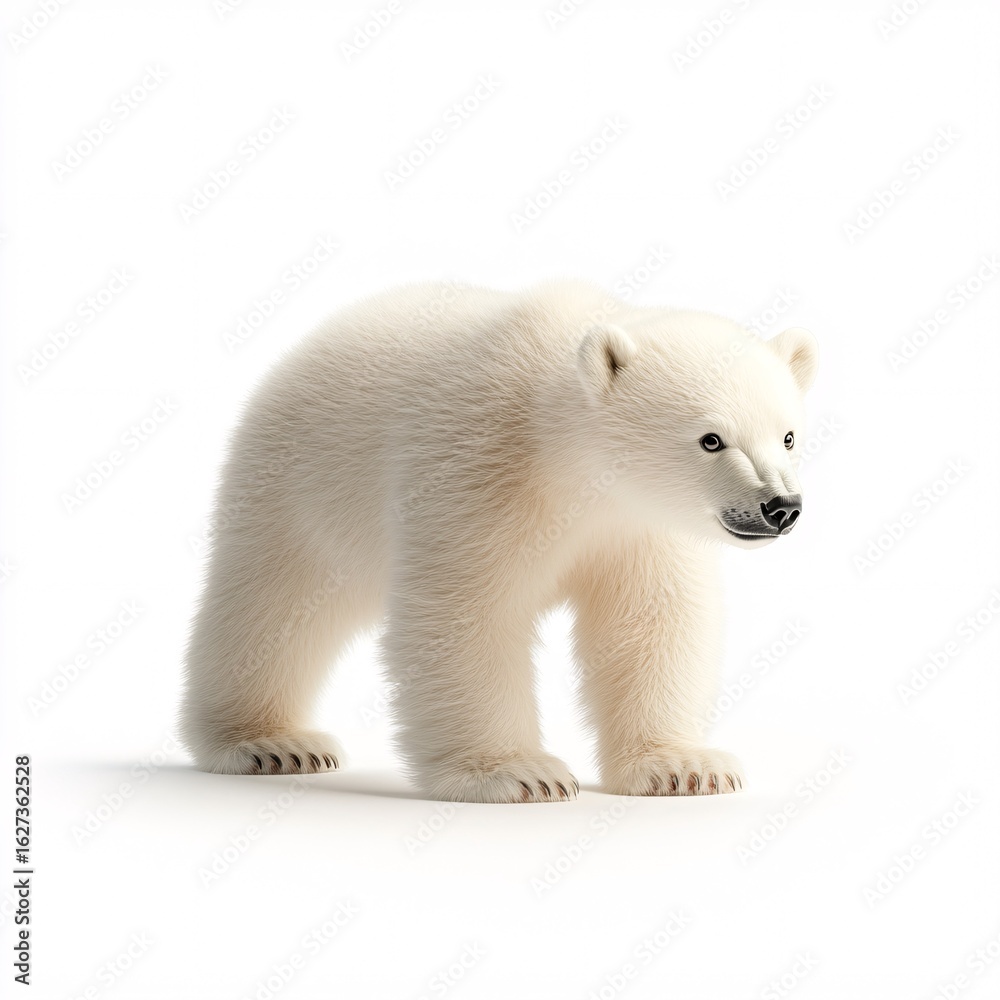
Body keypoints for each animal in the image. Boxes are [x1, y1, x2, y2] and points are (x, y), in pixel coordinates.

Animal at [180, 280, 818, 803]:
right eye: (711, 439)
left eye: (788, 436)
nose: (780, 508)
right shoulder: (479, 465)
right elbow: (465, 611)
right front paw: (517, 773)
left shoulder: (637, 526)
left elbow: (651, 619)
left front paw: (683, 766)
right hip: (302, 484)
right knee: (274, 605)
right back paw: (269, 743)